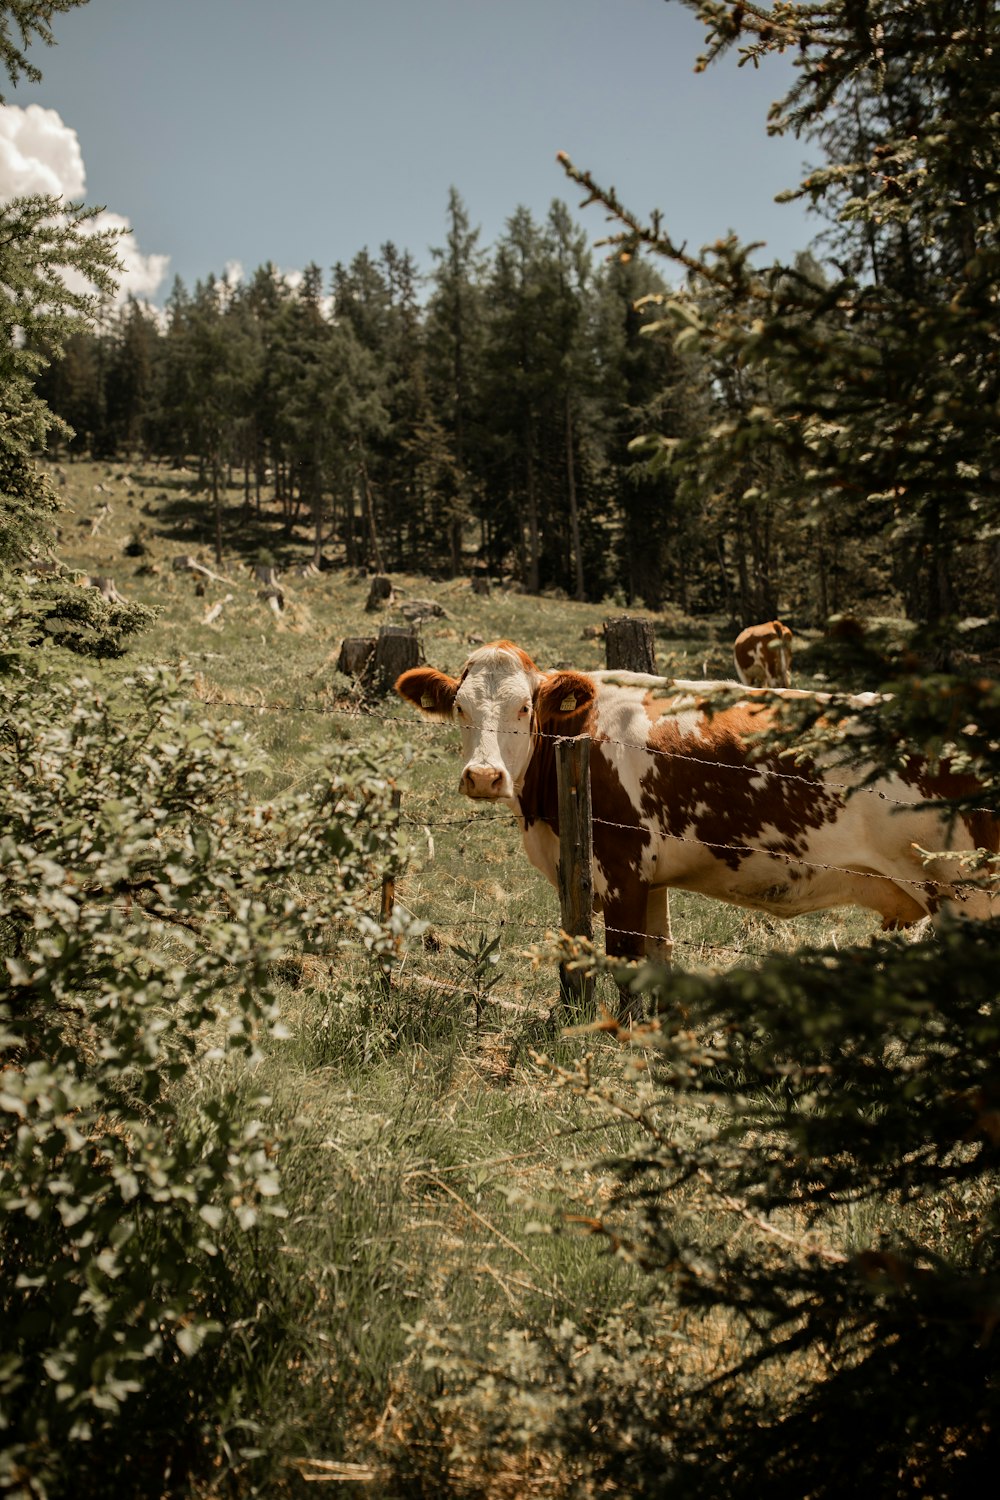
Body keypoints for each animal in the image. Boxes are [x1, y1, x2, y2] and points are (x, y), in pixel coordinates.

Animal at [395, 633, 995, 996]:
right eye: (459, 708)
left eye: (524, 708)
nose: (483, 776)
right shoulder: (649, 879)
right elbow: (657, 961)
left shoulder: (621, 870)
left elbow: (626, 963)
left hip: (967, 893)